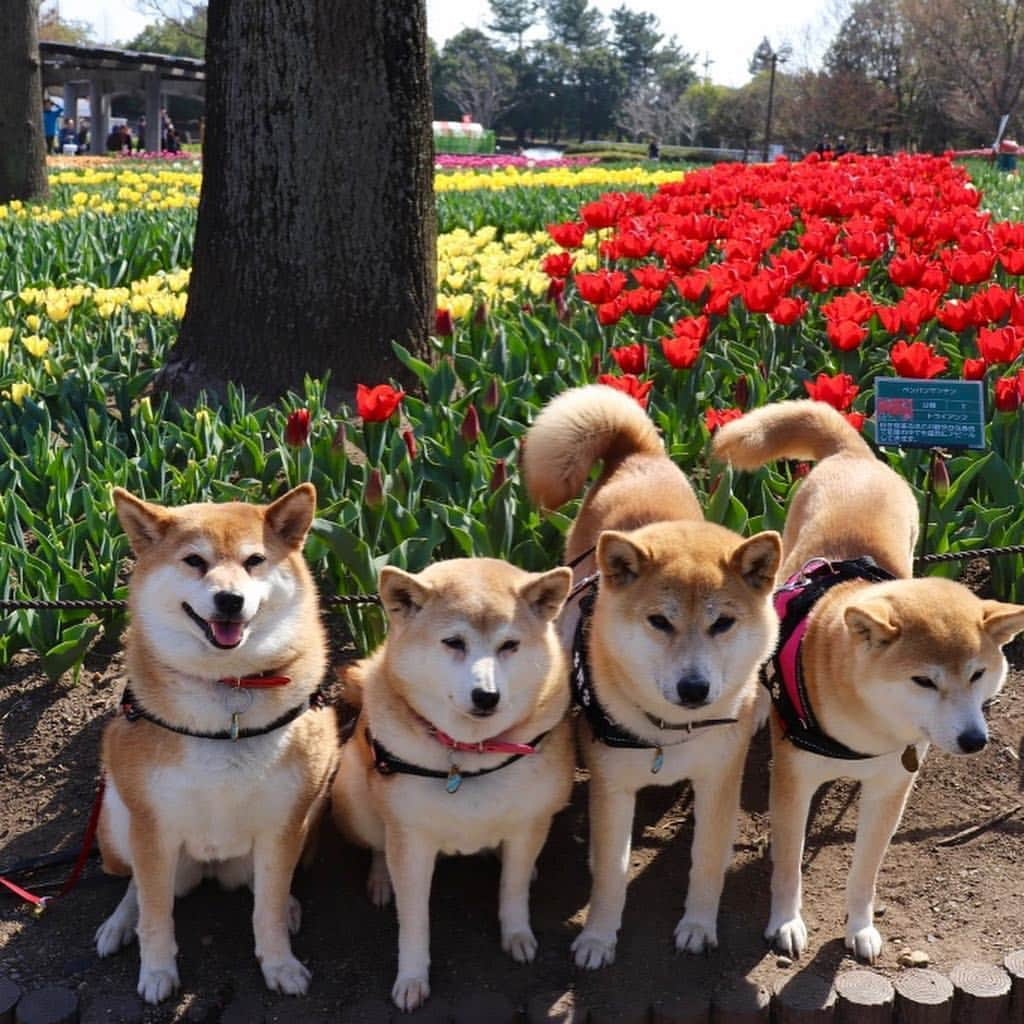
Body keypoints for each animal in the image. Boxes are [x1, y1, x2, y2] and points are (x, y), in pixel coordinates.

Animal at [95, 483, 335, 1003]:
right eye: (194, 561)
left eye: (254, 560)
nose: (229, 600)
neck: (230, 691)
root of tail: (210, 868)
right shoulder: (152, 826)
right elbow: (155, 916)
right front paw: (156, 970)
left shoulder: (283, 824)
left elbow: (266, 910)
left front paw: (279, 963)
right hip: (118, 824)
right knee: (137, 887)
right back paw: (119, 923)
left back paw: (289, 906)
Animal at [333, 557, 577, 1011]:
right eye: (453, 642)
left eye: (509, 645)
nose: (487, 696)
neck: (470, 754)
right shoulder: (410, 840)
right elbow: (413, 921)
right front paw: (412, 976)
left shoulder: (529, 822)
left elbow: (513, 889)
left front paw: (517, 934)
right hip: (353, 797)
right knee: (377, 843)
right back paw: (381, 878)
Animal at [524, 385, 778, 966]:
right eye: (660, 622)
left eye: (722, 623)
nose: (694, 688)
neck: (669, 735)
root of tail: (637, 454)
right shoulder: (612, 788)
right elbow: (610, 874)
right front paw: (598, 937)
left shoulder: (718, 781)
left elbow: (706, 861)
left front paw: (698, 925)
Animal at [708, 399, 1024, 958]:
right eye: (924, 681)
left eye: (978, 674)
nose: (973, 740)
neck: (869, 729)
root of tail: (855, 453)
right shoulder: (794, 780)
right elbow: (789, 867)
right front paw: (786, 922)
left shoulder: (889, 790)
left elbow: (864, 874)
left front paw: (859, 927)